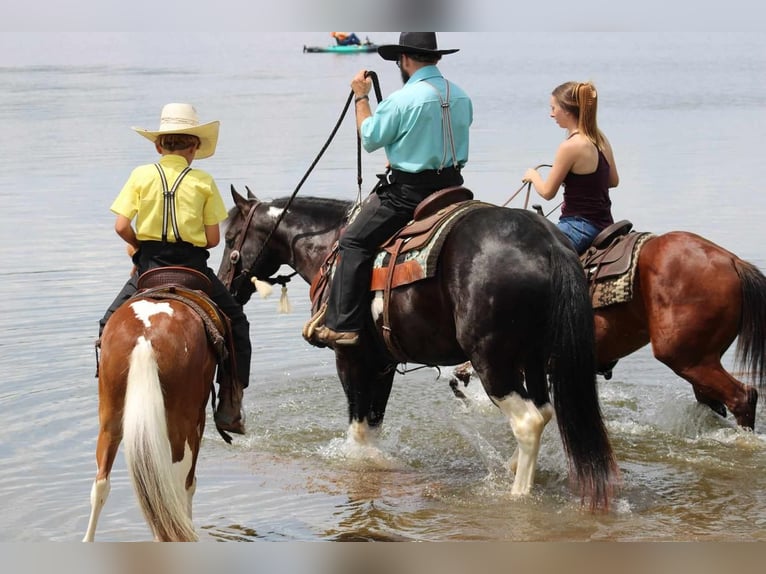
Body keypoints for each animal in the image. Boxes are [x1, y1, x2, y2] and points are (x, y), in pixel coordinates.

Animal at [84, 268, 234, 544]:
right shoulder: (198, 421)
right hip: (183, 423)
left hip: (110, 416)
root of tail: (146, 336)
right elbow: (188, 482)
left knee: (101, 482)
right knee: (179, 481)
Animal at [219, 189, 620, 512]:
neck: (329, 244)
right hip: (533, 359)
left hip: (493, 360)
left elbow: (358, 431)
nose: (226, 285)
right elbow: (373, 423)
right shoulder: (382, 364)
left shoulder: (351, 357)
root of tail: (548, 244)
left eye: (229, 236)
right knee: (545, 410)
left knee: (529, 420)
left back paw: (517, 494)